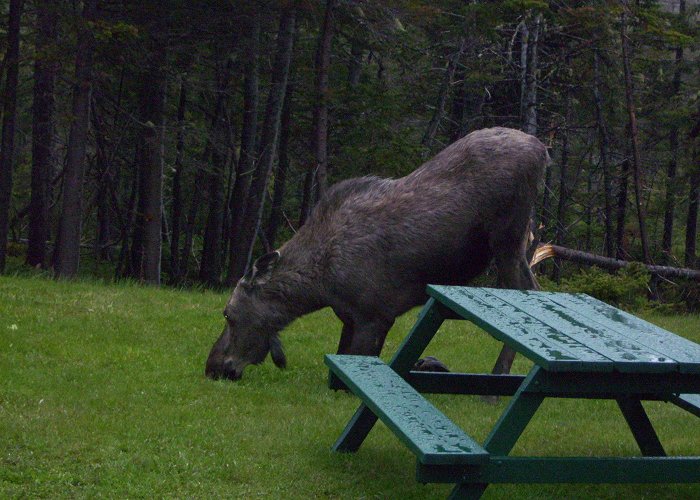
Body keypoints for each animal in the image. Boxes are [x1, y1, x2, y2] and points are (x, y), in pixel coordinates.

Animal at [205, 127, 548, 380]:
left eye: (228, 313)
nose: (213, 367)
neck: (319, 287)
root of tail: (542, 150)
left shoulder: (375, 314)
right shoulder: (350, 318)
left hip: (507, 237)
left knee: (524, 295)